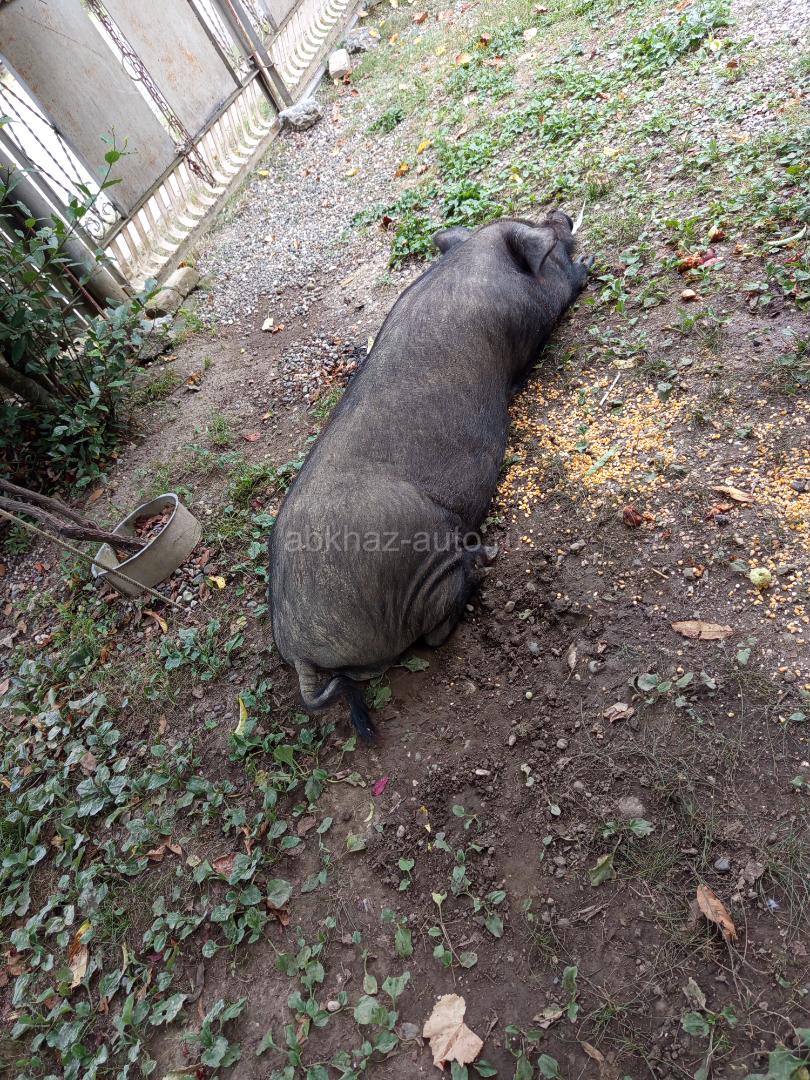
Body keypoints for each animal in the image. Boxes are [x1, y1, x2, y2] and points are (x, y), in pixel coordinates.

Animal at [269, 211, 593, 739]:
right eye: (545, 234)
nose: (561, 215)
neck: (472, 258)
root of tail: (300, 650)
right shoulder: (535, 316)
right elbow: (561, 295)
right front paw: (588, 264)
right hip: (423, 560)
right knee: (437, 631)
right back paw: (483, 560)